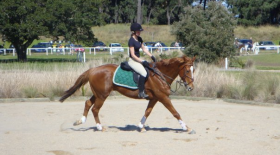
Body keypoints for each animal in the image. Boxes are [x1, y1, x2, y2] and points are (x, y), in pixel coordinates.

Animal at [59, 55, 195, 133]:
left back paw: (80, 121)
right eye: (188, 70)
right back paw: (100, 127)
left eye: (193, 70)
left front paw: (141, 126)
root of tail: (93, 69)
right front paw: (186, 127)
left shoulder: (155, 98)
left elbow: (147, 112)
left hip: (99, 94)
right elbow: (175, 112)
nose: (191, 88)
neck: (159, 74)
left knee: (88, 103)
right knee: (95, 109)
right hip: (102, 96)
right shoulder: (163, 97)